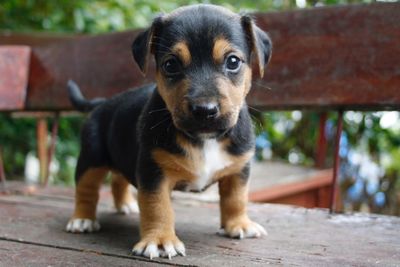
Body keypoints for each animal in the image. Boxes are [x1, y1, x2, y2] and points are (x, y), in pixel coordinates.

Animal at [65, 3, 272, 260]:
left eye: (233, 61)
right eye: (170, 64)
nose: (205, 110)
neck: (204, 139)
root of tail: (103, 103)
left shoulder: (239, 169)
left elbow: (237, 198)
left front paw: (238, 224)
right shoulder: (154, 172)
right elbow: (157, 207)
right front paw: (161, 241)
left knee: (118, 179)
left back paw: (125, 204)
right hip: (91, 159)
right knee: (86, 188)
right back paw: (82, 219)